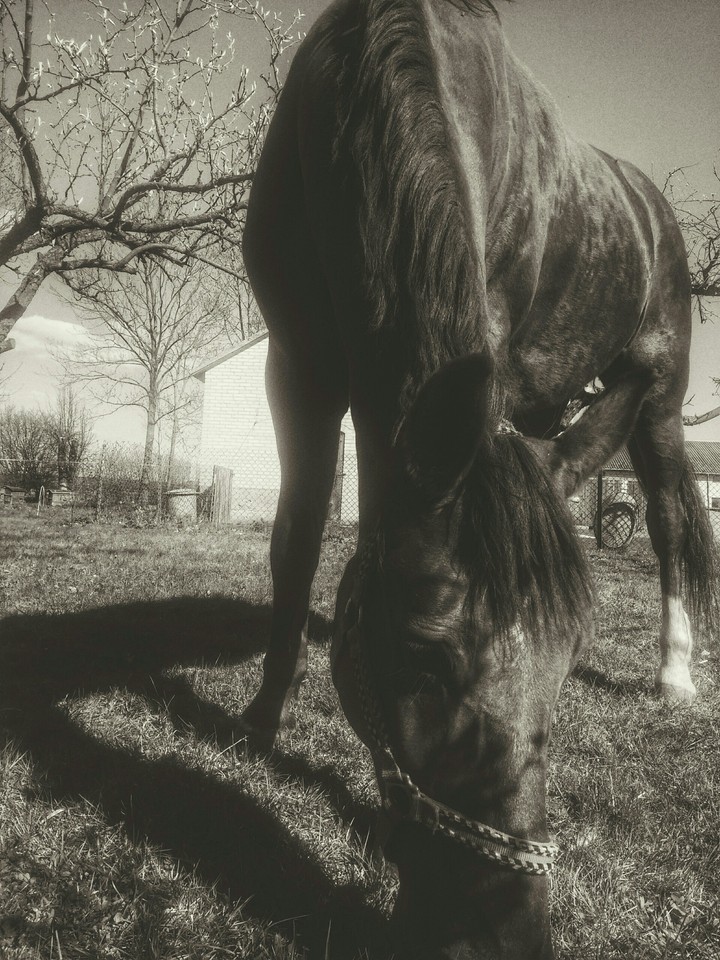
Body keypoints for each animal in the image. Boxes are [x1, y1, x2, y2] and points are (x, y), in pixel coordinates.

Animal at [241, 1, 717, 956]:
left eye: (567, 665)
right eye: (424, 661)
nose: (508, 934)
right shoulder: (297, 362)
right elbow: (297, 540)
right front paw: (265, 718)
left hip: (655, 403)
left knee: (670, 519)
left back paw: (677, 676)